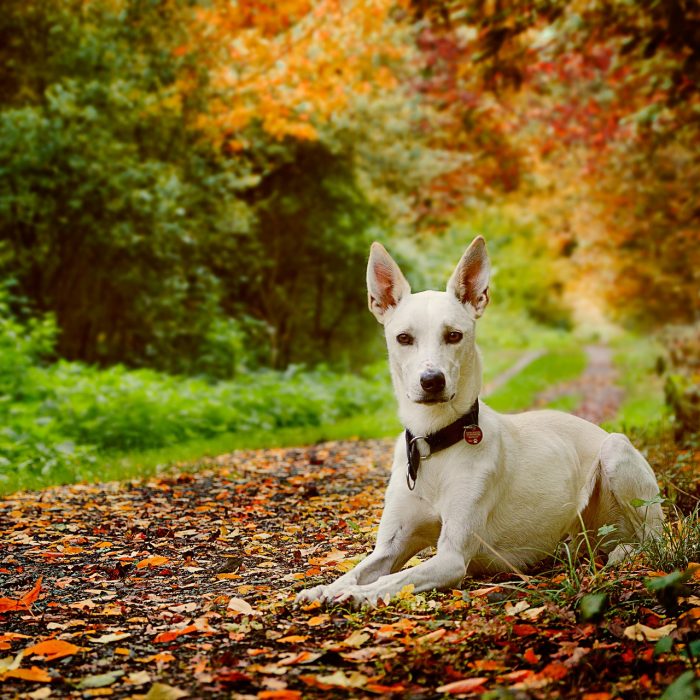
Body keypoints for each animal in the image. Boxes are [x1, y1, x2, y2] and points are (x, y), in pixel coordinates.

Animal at [296, 237, 660, 608]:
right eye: (404, 338)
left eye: (454, 335)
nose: (432, 381)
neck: (434, 443)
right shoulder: (390, 548)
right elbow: (359, 570)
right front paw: (325, 588)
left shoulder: (452, 557)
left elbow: (394, 579)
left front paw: (357, 594)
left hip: (617, 453)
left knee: (651, 540)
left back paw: (626, 552)